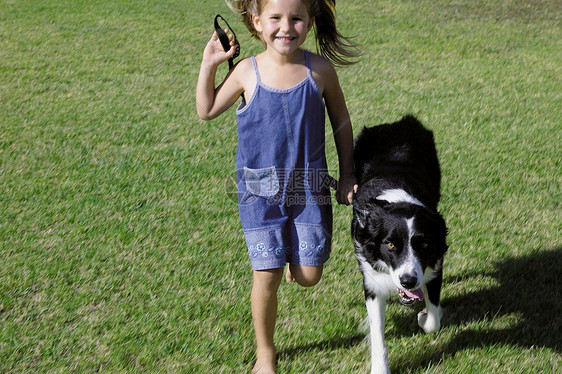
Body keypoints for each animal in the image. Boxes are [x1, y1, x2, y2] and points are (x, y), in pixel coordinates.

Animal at [350, 115, 446, 372]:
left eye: (423, 245)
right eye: (390, 245)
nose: (408, 281)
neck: (398, 201)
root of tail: (394, 123)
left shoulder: (434, 264)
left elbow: (433, 318)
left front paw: (423, 316)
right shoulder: (371, 280)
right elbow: (377, 334)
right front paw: (380, 368)